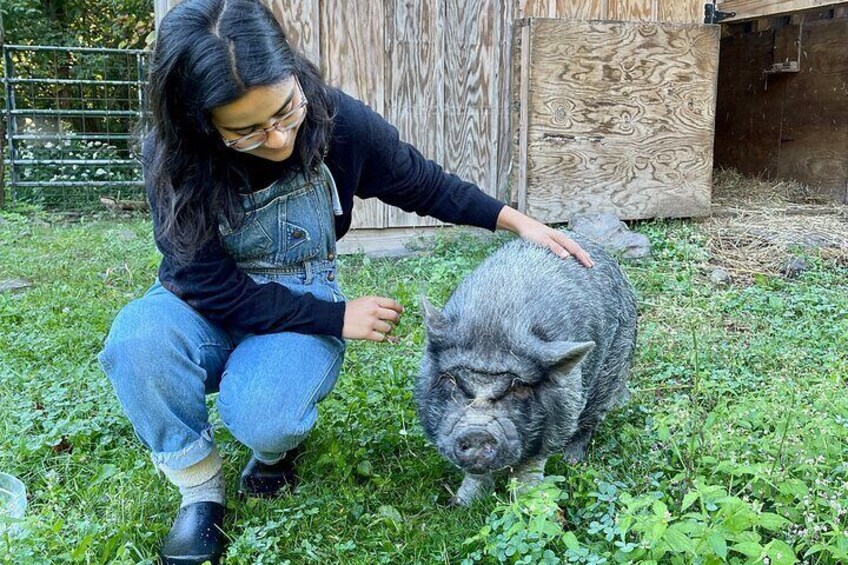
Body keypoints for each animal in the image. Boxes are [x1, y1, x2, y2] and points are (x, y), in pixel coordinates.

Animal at [418, 231, 636, 504]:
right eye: (451, 380)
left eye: (520, 388)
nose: (477, 433)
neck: (494, 323)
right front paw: (460, 505)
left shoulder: (564, 408)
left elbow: (531, 465)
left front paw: (529, 503)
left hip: (612, 367)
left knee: (592, 417)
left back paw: (573, 459)